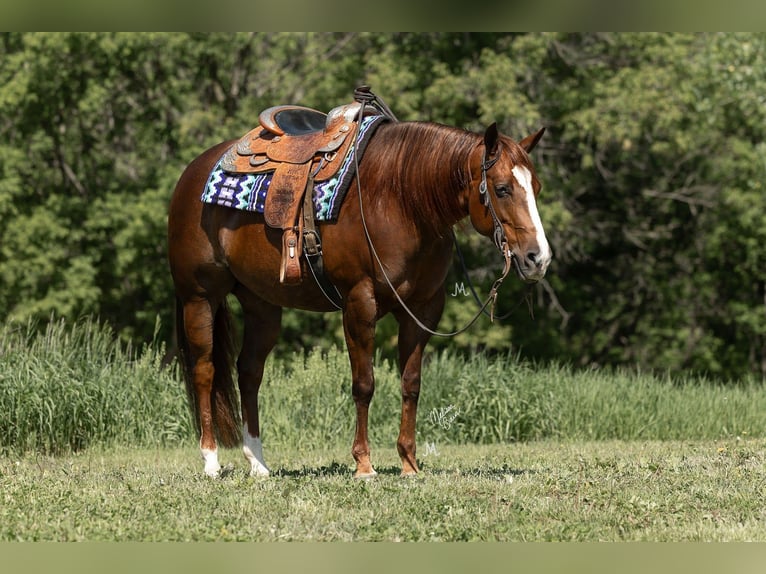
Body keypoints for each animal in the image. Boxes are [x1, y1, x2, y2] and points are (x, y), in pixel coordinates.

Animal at [168, 104, 552, 482]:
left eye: (536, 187)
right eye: (501, 189)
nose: (539, 258)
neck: (400, 201)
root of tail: (192, 173)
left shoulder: (423, 309)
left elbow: (411, 383)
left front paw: (409, 463)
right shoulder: (359, 302)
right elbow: (364, 383)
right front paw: (364, 465)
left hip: (262, 305)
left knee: (248, 372)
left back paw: (258, 464)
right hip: (200, 298)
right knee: (204, 370)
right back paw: (211, 461)